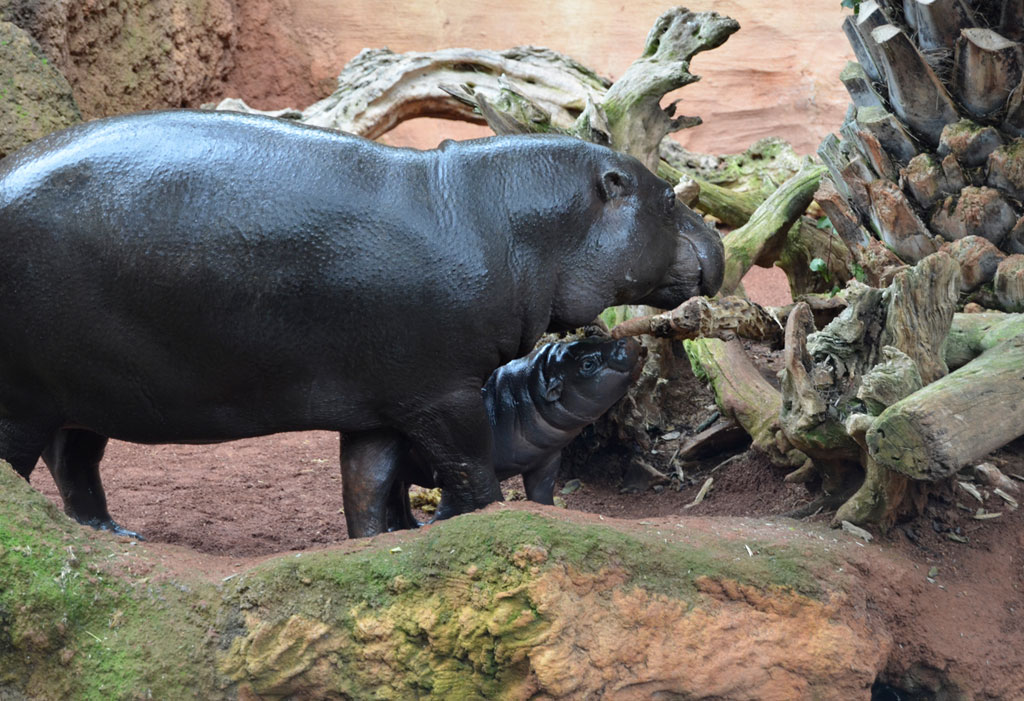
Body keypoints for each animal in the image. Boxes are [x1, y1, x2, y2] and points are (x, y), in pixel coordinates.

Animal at [0, 107, 720, 536]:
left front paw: (391, 537)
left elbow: (367, 480)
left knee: (75, 461)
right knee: (28, 462)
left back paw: (112, 534)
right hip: (28, 398)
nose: (716, 240)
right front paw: (478, 521)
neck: (508, 217)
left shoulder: (383, 400)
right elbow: (469, 465)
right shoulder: (444, 393)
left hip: (88, 394)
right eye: (664, 197)